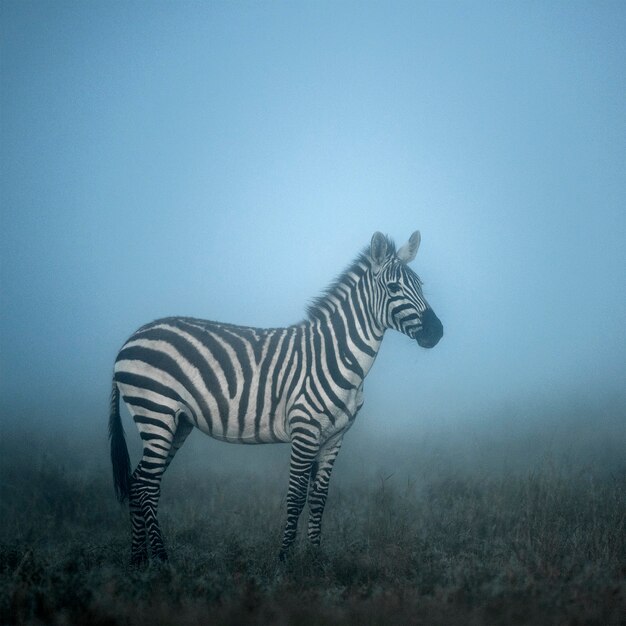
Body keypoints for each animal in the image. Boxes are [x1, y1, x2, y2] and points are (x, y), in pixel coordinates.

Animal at [111, 229, 444, 560]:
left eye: (420, 285)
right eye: (393, 287)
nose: (437, 333)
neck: (337, 357)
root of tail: (130, 339)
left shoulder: (335, 438)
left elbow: (319, 499)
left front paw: (315, 558)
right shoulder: (304, 431)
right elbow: (296, 497)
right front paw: (284, 557)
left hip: (177, 423)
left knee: (137, 482)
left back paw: (139, 560)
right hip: (156, 412)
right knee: (147, 485)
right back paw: (162, 559)